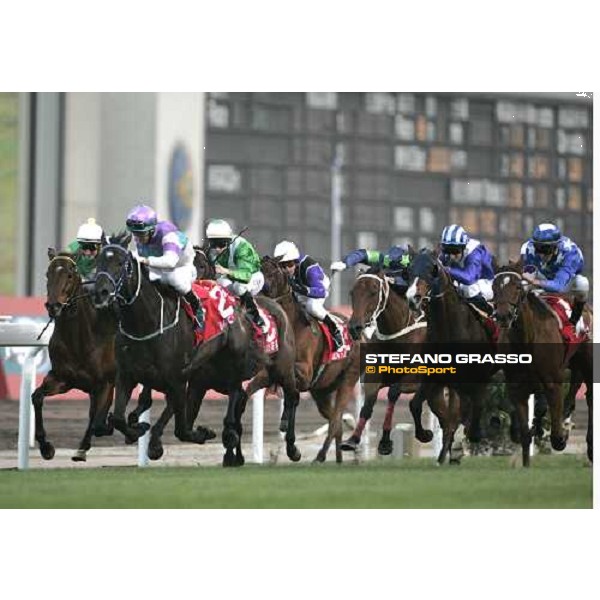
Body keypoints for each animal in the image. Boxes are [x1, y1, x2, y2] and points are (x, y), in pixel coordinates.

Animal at [31, 248, 152, 460]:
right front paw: (46, 447)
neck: (80, 338)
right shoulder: (62, 378)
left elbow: (99, 421)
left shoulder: (106, 383)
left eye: (69, 275)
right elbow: (36, 397)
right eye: (48, 274)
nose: (53, 306)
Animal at [258, 255, 360, 462]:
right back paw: (338, 459)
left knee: (335, 420)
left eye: (273, 273)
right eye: (259, 270)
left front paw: (290, 445)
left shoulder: (304, 374)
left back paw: (320, 457)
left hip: (348, 381)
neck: (292, 327)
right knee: (336, 422)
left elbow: (293, 397)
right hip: (322, 391)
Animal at [406, 248, 500, 464]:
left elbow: (476, 407)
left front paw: (477, 433)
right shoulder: (435, 376)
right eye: (409, 269)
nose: (413, 298)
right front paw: (426, 435)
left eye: (432, 269)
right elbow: (415, 404)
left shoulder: (478, 378)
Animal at [492, 262, 592, 464]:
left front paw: (560, 436)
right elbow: (524, 434)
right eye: (494, 287)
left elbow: (555, 435)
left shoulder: (553, 382)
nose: (504, 316)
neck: (527, 340)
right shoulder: (516, 387)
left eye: (517, 287)